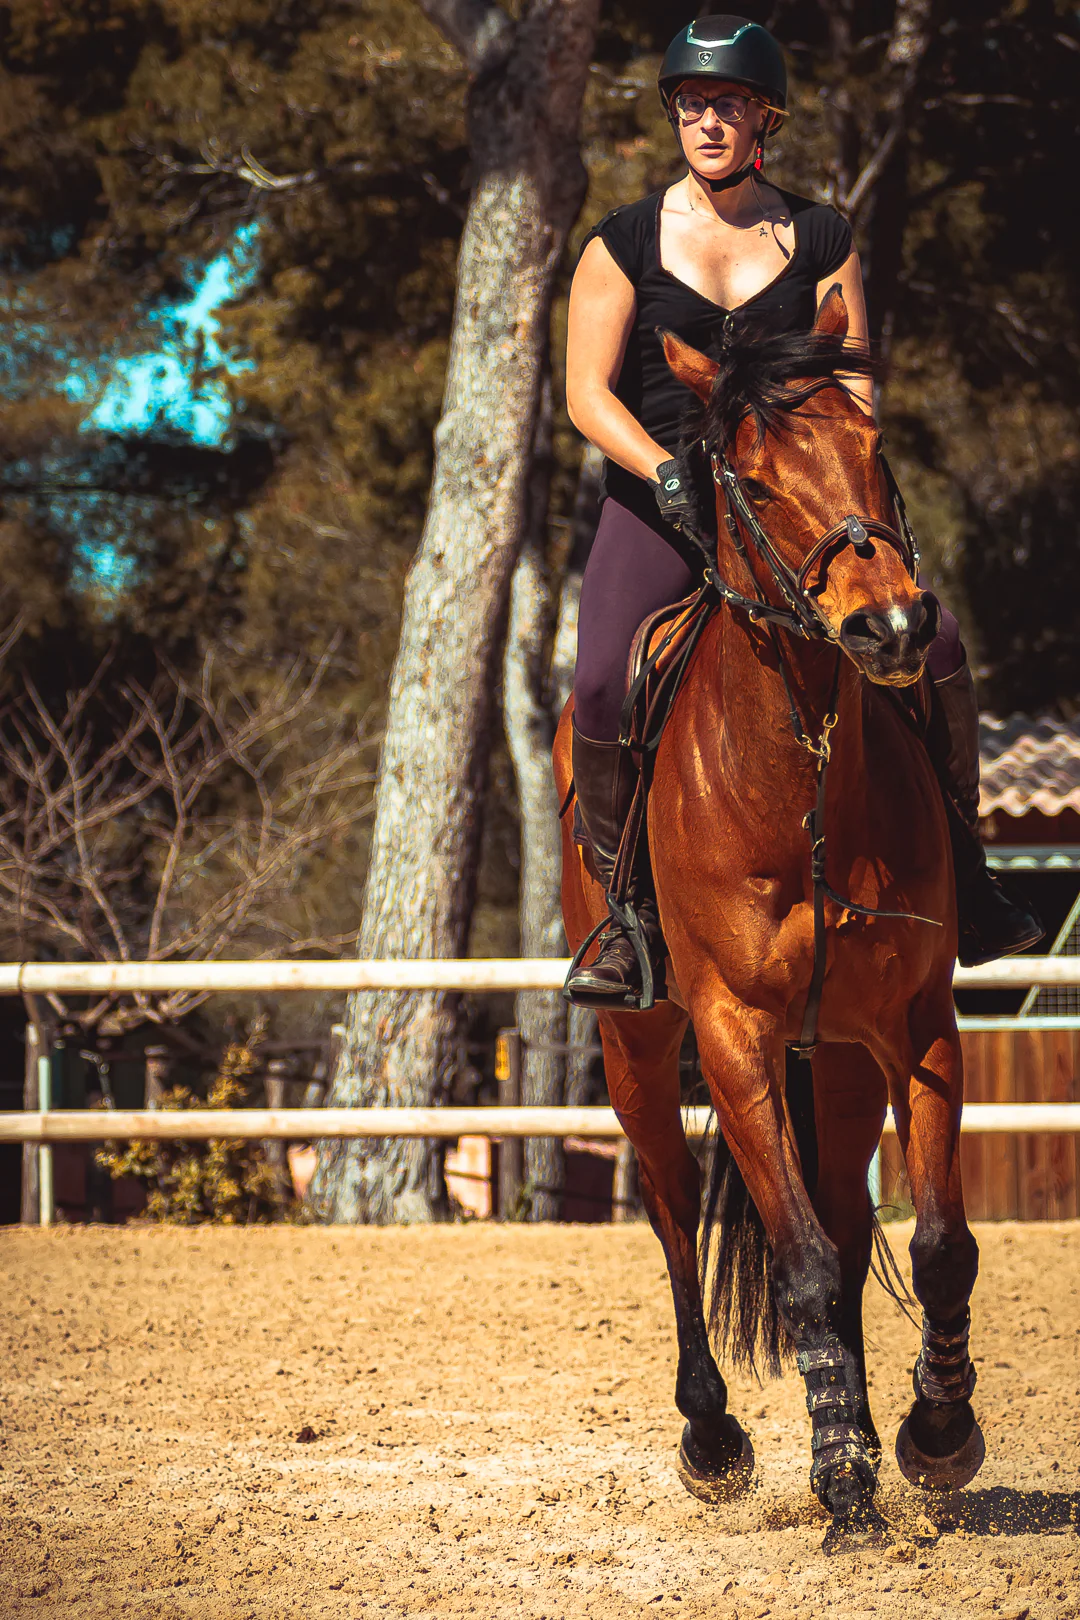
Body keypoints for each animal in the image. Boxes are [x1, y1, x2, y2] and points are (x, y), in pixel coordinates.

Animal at [554, 288, 983, 1552]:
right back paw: (714, 1438)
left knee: (842, 1227)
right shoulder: (735, 1034)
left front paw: (932, 1437)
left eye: (874, 447)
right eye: (748, 475)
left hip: (833, 1058)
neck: (801, 766)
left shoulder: (915, 1024)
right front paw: (842, 1482)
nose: (892, 626)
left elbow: (934, 1244)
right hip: (640, 1048)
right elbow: (790, 1262)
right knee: (669, 1211)